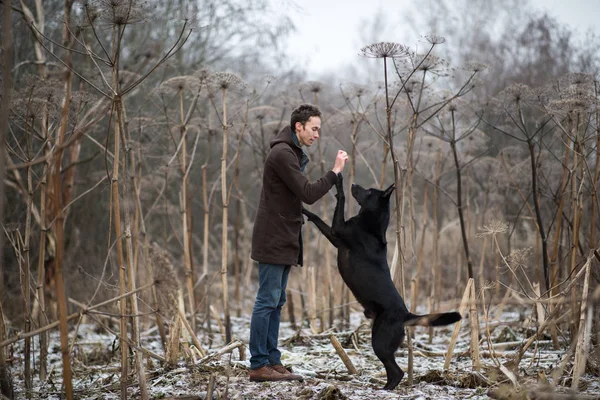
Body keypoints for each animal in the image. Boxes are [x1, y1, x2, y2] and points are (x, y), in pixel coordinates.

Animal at [302, 173, 462, 390]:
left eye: (369, 191)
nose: (354, 183)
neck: (371, 223)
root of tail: (406, 314)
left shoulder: (338, 229)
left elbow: (341, 198)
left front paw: (338, 180)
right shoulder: (336, 238)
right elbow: (317, 218)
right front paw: (304, 210)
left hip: (380, 342)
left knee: (397, 371)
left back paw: (386, 389)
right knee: (393, 371)